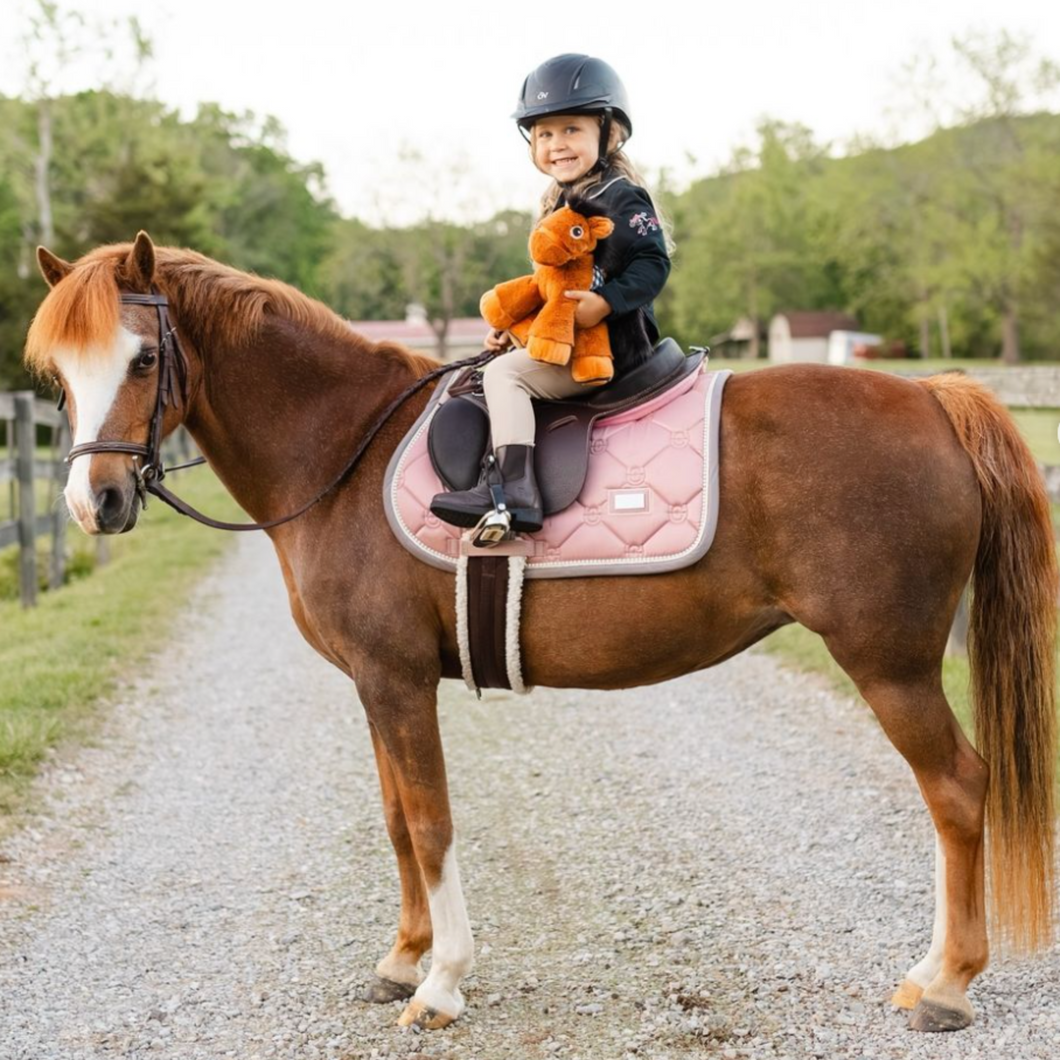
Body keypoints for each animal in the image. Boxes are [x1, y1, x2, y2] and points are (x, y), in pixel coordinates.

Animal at [24, 234, 1051, 1034]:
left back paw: (945, 983)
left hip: (890, 664)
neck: (343, 442)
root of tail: (932, 398)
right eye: (60, 377)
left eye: (143, 361)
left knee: (957, 790)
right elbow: (396, 819)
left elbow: (430, 821)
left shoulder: (396, 679)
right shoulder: (375, 683)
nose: (94, 502)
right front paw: (403, 958)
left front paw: (440, 982)